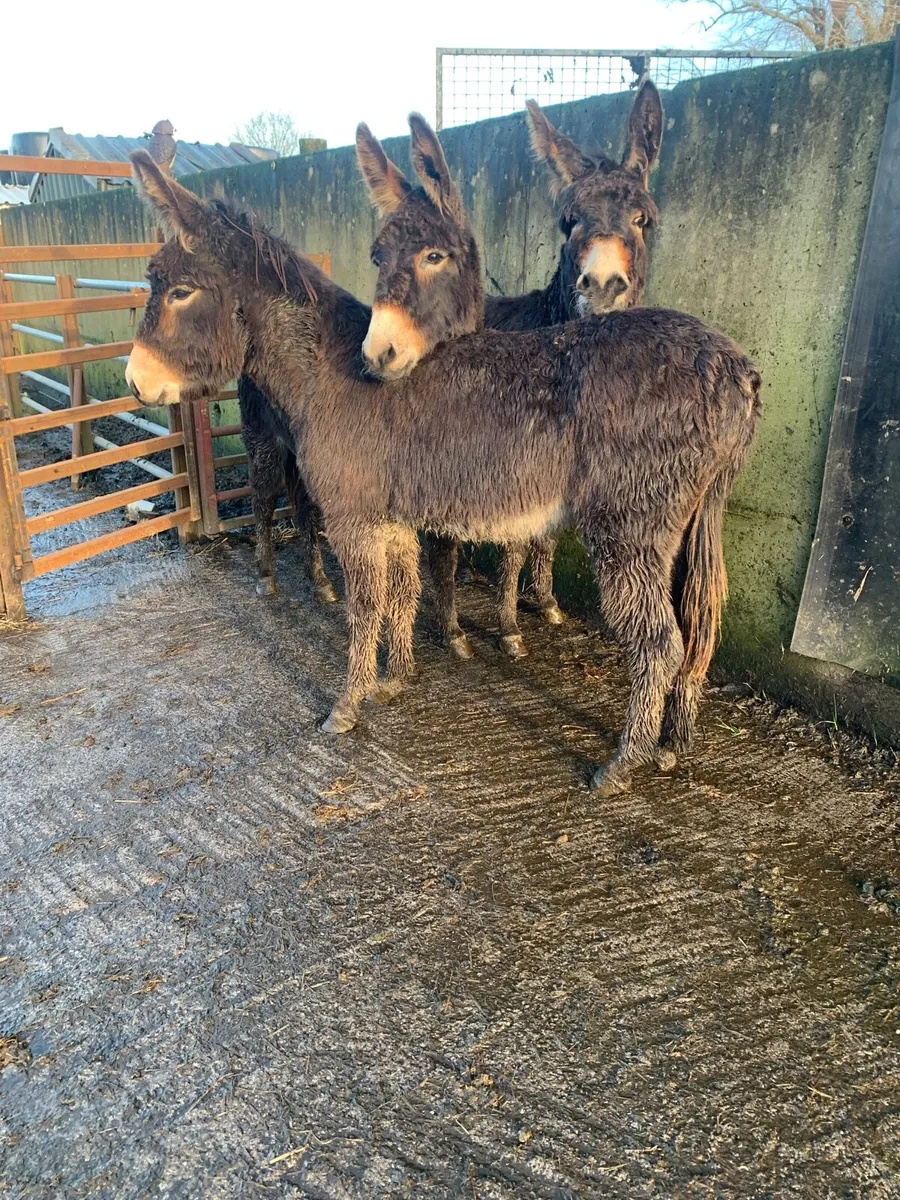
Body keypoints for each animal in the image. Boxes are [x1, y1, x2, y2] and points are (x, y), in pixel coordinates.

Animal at [124, 148, 760, 796]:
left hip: (629, 529)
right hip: (685, 526)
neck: (327, 371)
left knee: (660, 643)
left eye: (180, 293)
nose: (135, 383)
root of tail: (736, 367)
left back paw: (622, 763)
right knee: (698, 629)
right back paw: (671, 745)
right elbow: (403, 594)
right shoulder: (392, 519)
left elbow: (365, 608)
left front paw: (348, 706)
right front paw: (396, 679)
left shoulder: (353, 520)